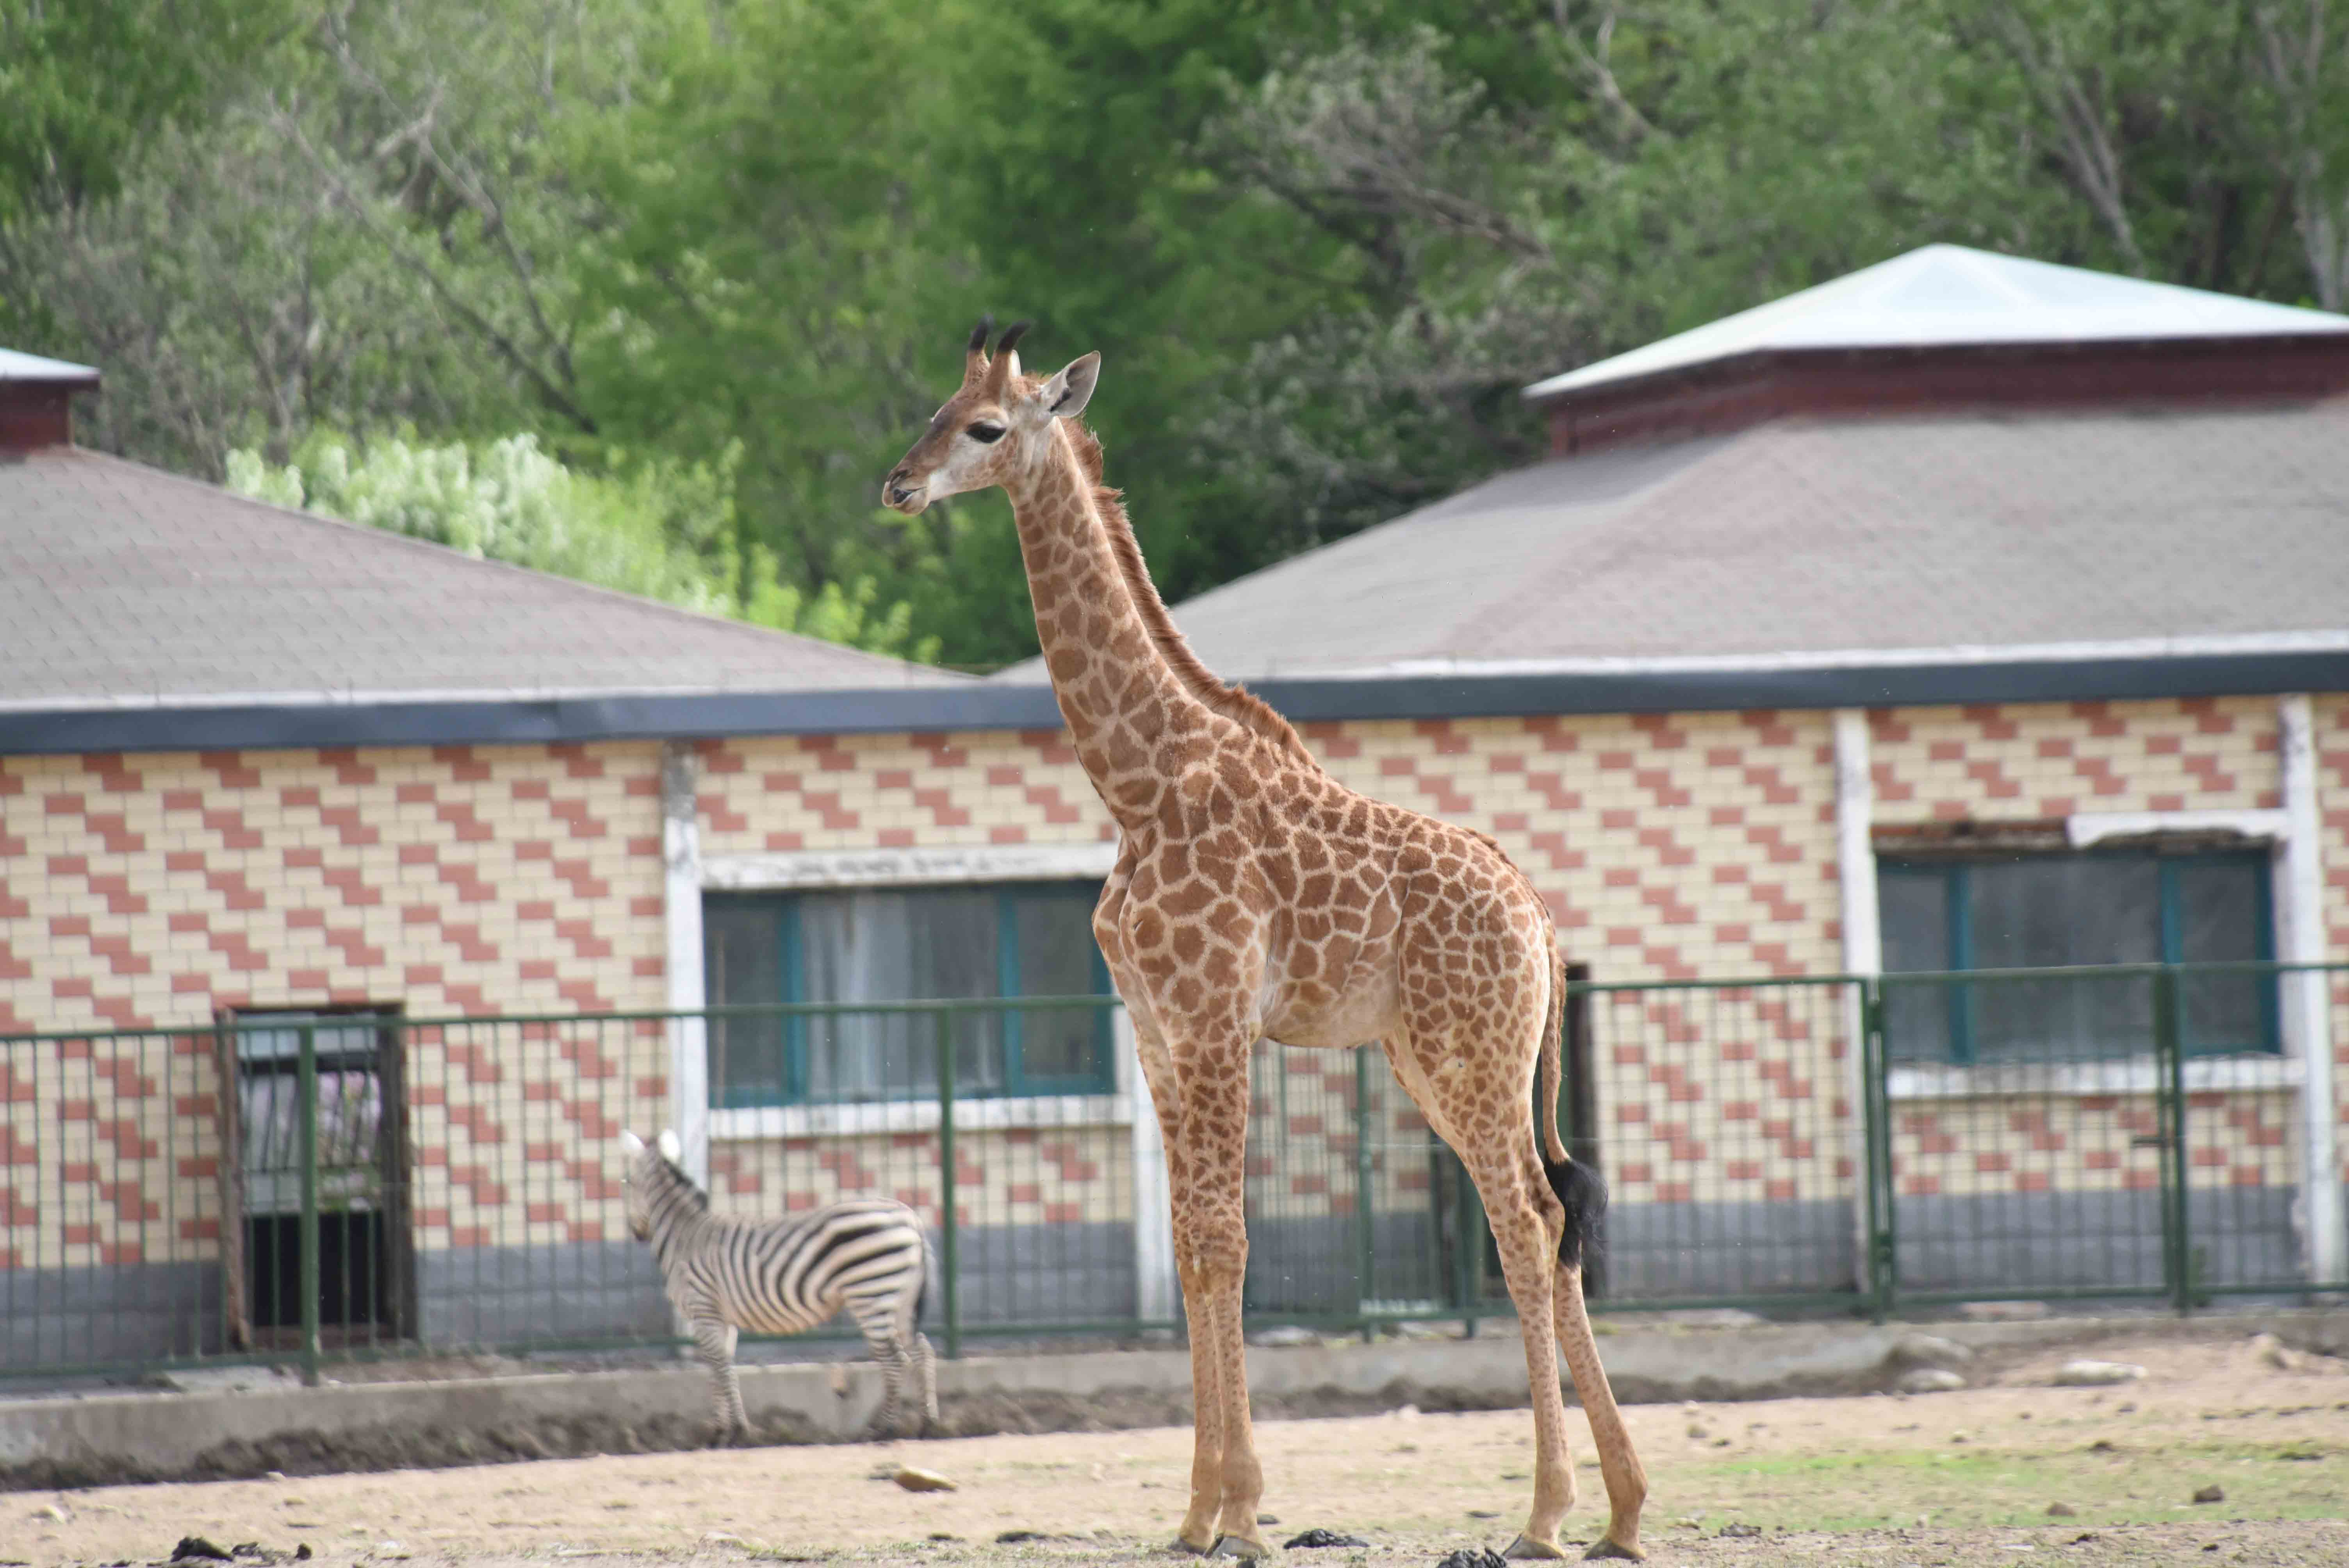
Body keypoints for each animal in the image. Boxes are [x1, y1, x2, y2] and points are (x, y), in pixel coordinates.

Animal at [620, 1126, 939, 1446]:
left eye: (628, 1183)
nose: (636, 1233)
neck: (685, 1236)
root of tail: (910, 1217)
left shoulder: (703, 1309)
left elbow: (719, 1368)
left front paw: (735, 1432)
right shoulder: (721, 1318)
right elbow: (722, 1368)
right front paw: (725, 1430)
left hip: (871, 1295)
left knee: (896, 1361)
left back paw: (885, 1429)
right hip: (901, 1300)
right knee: (922, 1351)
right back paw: (928, 1424)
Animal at [883, 319, 1654, 1558]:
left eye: (987, 426)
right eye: (935, 411)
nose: (899, 484)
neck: (1139, 785)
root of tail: (1539, 920)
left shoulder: (1212, 1020)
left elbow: (1227, 1239)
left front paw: (1241, 1507)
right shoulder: (1156, 1030)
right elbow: (1192, 1248)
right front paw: (1198, 1511)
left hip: (1473, 1054)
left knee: (1529, 1221)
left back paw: (1546, 1511)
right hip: (1432, 1058)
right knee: (1546, 1215)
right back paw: (1623, 1512)